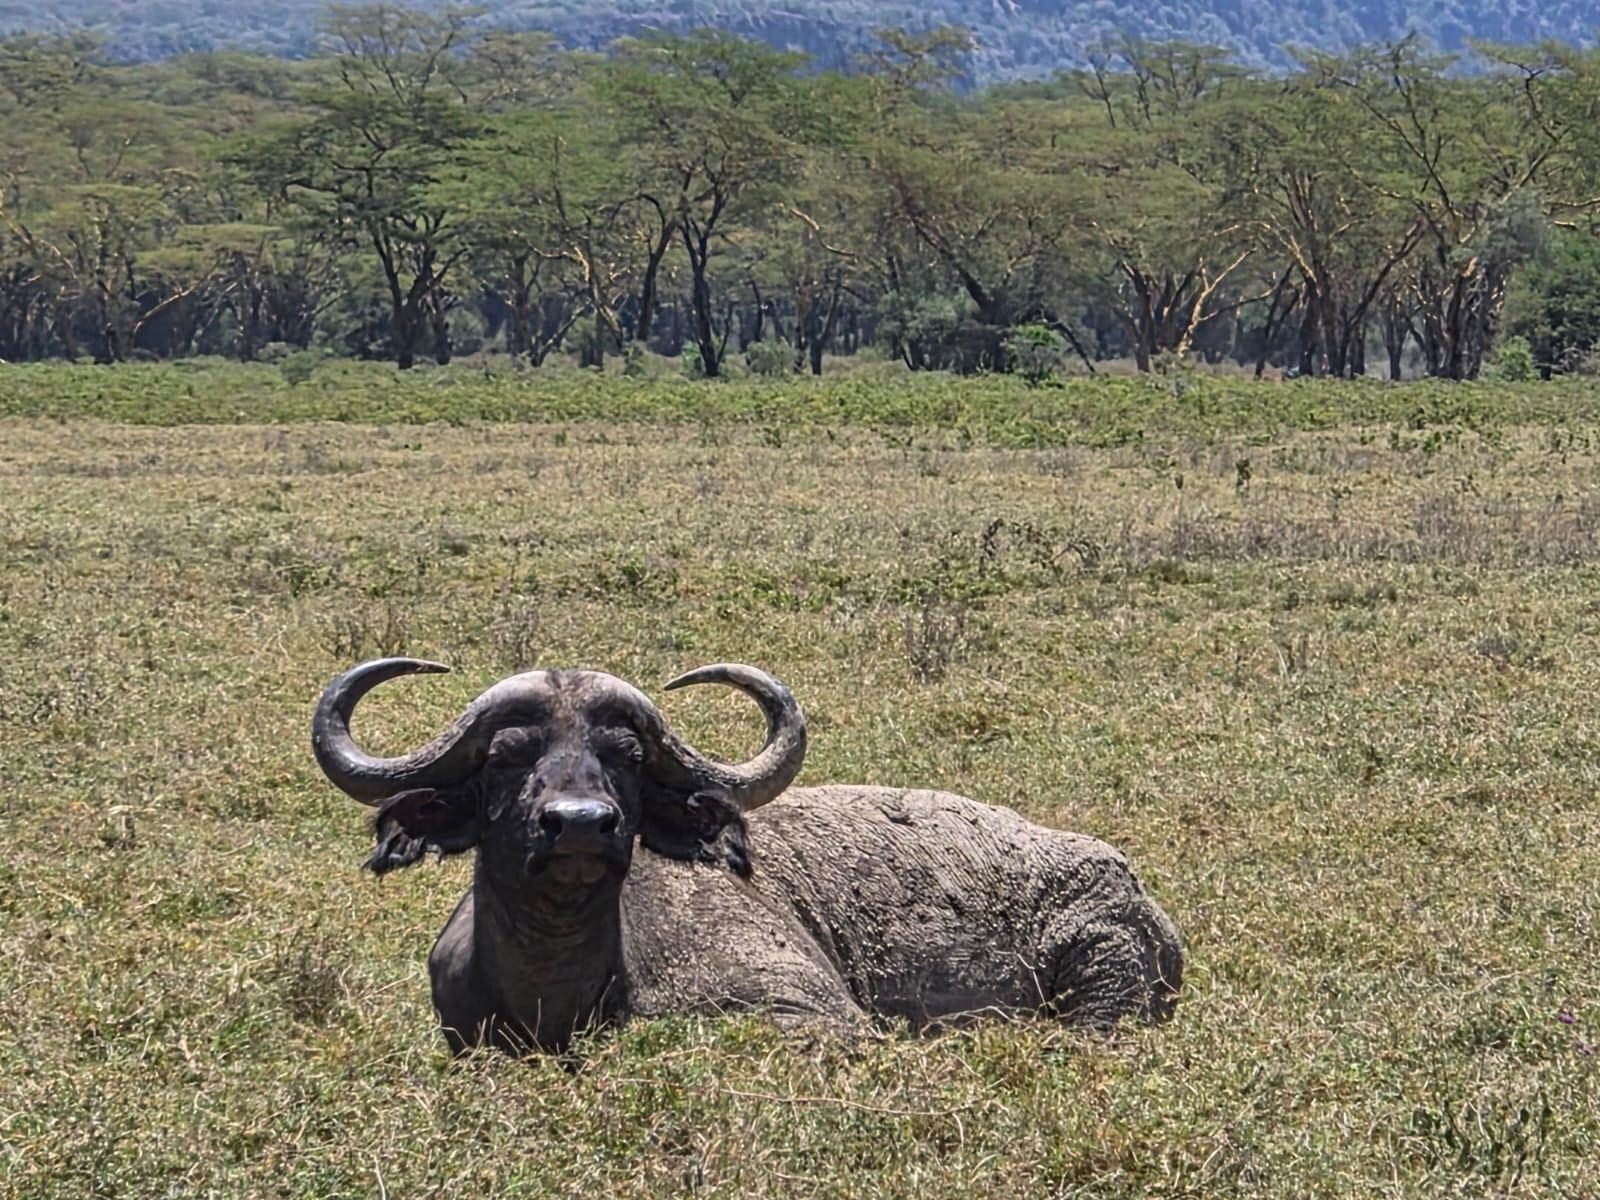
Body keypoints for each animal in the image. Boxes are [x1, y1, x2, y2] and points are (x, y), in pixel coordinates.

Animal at [312, 657, 1183, 1055]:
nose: (580, 827)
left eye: (626, 756)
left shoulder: (814, 1013)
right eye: (505, 756)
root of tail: (1143, 899)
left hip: (1099, 982)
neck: (563, 991)